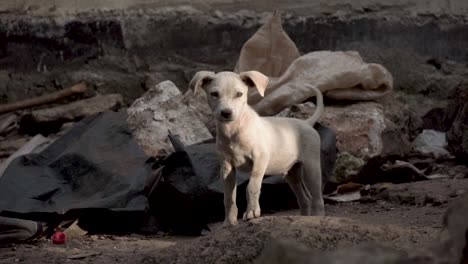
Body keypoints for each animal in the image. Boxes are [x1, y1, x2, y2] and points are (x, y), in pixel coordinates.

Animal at [188, 70, 324, 225]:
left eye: (239, 94)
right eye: (214, 94)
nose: (226, 113)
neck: (234, 130)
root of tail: (307, 123)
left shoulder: (260, 159)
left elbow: (252, 186)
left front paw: (252, 212)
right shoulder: (227, 167)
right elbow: (228, 196)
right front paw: (229, 222)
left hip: (312, 167)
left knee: (318, 197)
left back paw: (318, 217)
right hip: (292, 173)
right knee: (305, 198)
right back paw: (305, 219)